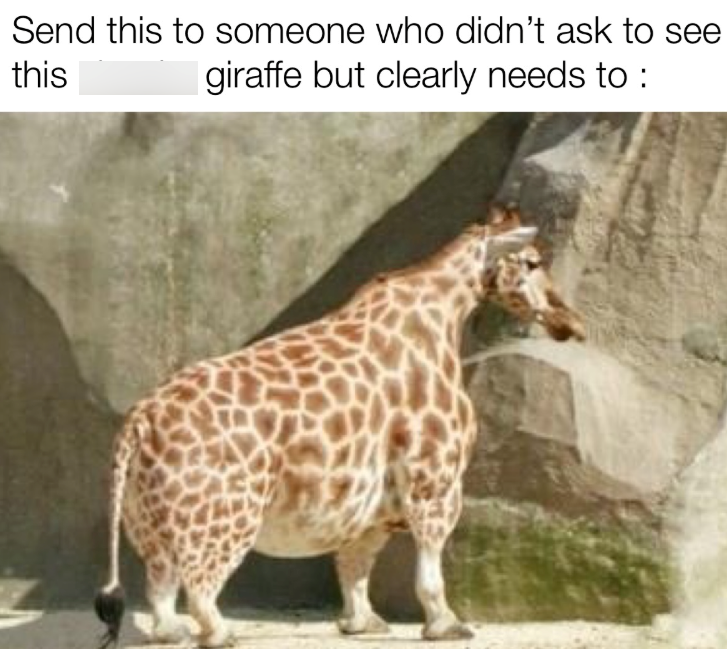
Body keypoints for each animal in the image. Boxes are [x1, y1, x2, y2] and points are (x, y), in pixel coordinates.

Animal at [95, 204, 585, 648]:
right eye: (532, 262)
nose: (572, 322)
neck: (441, 315)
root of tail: (137, 423)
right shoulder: (434, 479)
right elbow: (428, 571)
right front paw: (447, 626)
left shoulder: (373, 500)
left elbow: (354, 564)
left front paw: (361, 624)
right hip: (225, 515)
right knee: (199, 588)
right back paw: (222, 633)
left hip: (149, 522)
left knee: (160, 590)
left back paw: (173, 633)